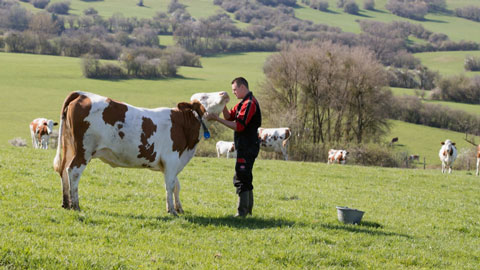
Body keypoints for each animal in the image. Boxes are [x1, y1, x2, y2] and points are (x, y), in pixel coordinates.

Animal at [53, 90, 230, 215]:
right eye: (204, 97)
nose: (224, 93)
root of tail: (83, 94)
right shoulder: (172, 159)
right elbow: (170, 185)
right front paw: (171, 210)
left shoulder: (172, 164)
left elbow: (177, 186)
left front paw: (179, 208)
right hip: (84, 150)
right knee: (73, 171)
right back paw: (75, 205)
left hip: (70, 147)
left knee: (63, 171)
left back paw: (66, 203)